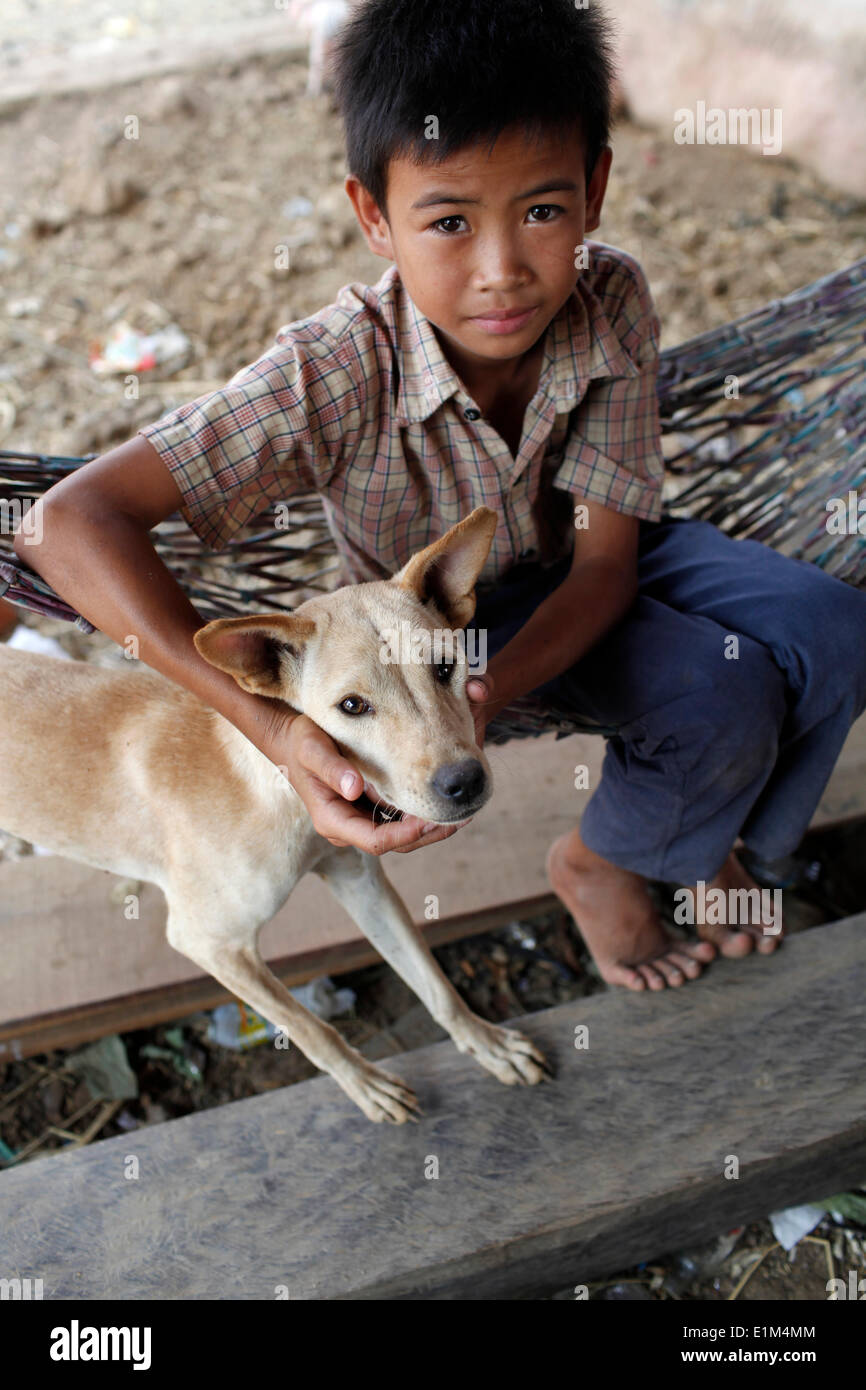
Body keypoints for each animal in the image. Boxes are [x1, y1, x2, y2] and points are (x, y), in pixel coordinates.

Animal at [1, 505, 547, 1123]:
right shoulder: (208, 942)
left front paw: (488, 1043)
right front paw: (366, 1084)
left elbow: (432, 980)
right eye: (352, 706)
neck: (273, 792)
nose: (463, 782)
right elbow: (310, 1029)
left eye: (446, 666)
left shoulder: (361, 880)